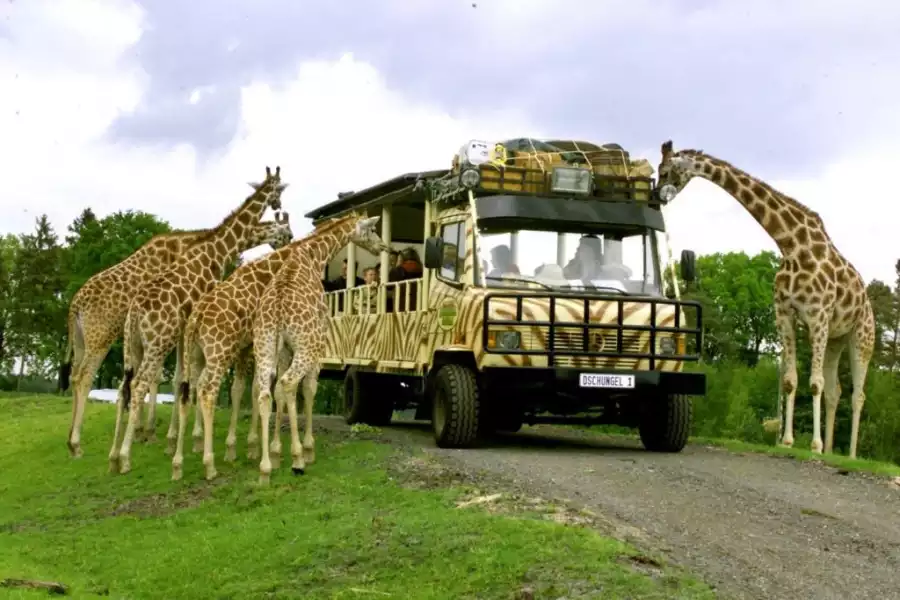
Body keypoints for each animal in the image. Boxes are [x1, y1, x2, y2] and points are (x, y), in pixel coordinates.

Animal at [66, 218, 292, 458]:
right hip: (101, 337)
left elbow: (163, 379)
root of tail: (74, 306)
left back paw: (73, 440)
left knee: (77, 375)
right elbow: (180, 378)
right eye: (287, 233)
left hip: (84, 340)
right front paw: (171, 437)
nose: (290, 242)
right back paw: (78, 443)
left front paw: (146, 432)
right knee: (86, 376)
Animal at [106, 168, 288, 474]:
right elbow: (190, 380)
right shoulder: (191, 326)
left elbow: (183, 379)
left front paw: (182, 441)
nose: (291, 238)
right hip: (158, 341)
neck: (218, 249)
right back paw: (126, 456)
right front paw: (194, 440)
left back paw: (113, 455)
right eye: (280, 191)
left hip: (133, 346)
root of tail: (135, 313)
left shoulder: (187, 330)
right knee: (140, 384)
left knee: (124, 387)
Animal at [250, 211, 386, 482]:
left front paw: (276, 452)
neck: (314, 255)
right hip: (307, 346)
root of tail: (278, 309)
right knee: (290, 382)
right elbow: (310, 388)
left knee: (266, 391)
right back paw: (298, 460)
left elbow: (279, 393)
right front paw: (306, 449)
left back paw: (265, 468)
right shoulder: (319, 343)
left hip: (265, 345)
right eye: (373, 229)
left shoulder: (284, 350)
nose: (382, 246)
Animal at [656, 142, 876, 460]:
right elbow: (791, 380)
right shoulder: (785, 314)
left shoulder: (817, 316)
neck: (792, 246)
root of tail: (868, 304)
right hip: (837, 338)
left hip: (862, 337)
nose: (656, 194)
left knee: (858, 394)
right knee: (836, 390)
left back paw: (849, 455)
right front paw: (788, 441)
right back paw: (831, 449)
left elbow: (815, 383)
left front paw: (813, 445)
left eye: (664, 171)